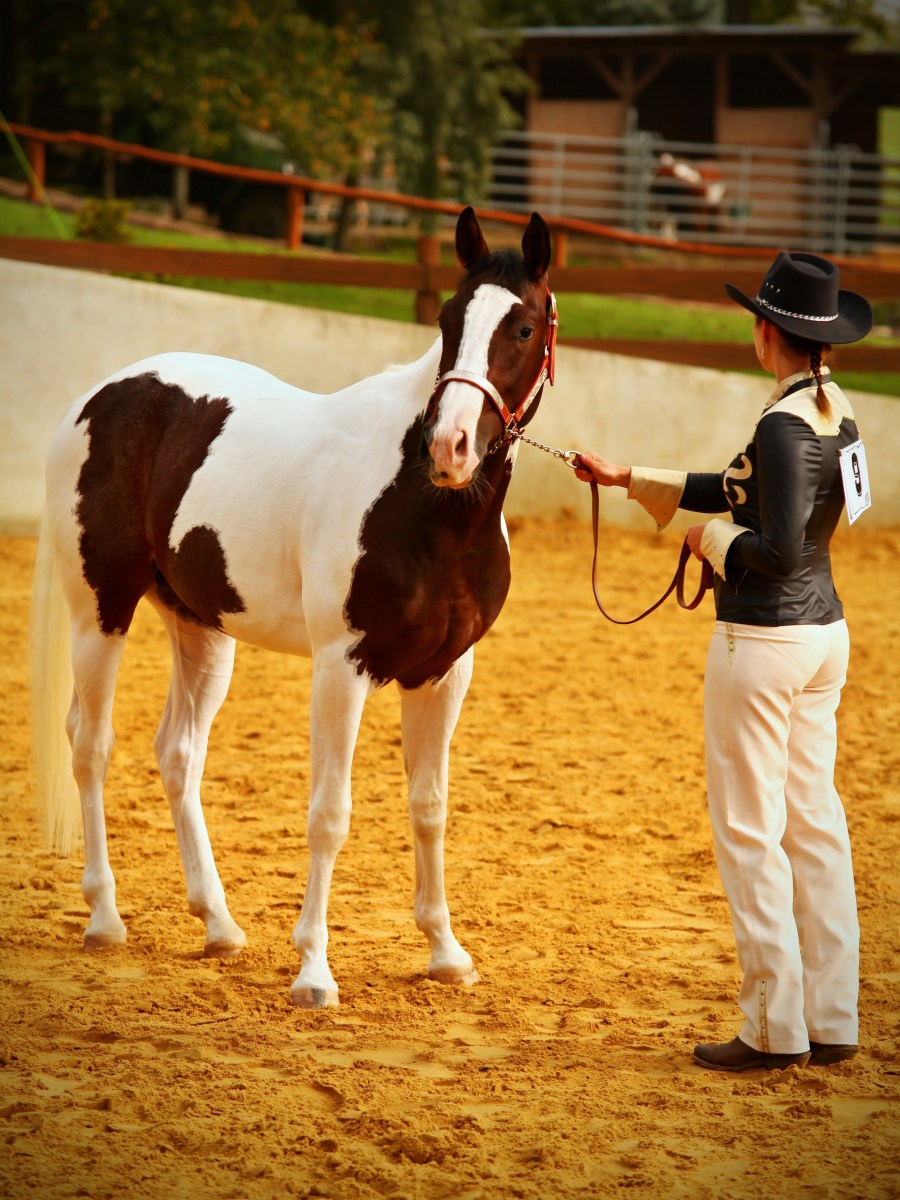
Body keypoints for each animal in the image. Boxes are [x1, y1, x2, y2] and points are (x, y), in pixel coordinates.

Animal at [29, 206, 557, 1008]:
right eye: (447, 319)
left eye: (523, 327)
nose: (450, 447)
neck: (428, 509)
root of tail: (99, 398)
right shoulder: (342, 668)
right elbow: (330, 815)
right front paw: (313, 971)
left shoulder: (444, 674)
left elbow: (429, 808)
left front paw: (446, 952)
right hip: (101, 611)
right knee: (90, 744)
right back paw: (105, 917)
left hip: (201, 630)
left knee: (178, 753)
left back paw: (218, 925)